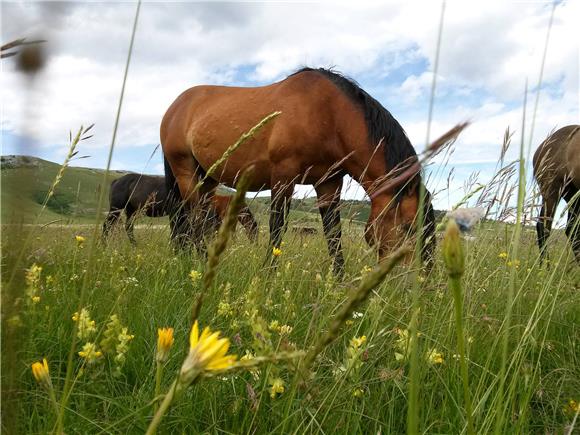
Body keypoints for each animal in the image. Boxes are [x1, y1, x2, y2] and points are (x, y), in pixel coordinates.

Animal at [102, 175, 258, 247]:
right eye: (254, 232)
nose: (255, 244)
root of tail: (116, 180)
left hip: (131, 210)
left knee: (128, 228)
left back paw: (135, 245)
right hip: (116, 209)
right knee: (107, 226)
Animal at [161, 67, 432, 274]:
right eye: (408, 226)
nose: (414, 281)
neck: (328, 114)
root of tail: (176, 106)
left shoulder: (329, 184)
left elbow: (333, 235)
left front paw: (338, 285)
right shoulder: (283, 177)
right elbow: (277, 228)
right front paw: (268, 277)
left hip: (207, 178)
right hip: (185, 171)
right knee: (193, 218)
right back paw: (199, 262)